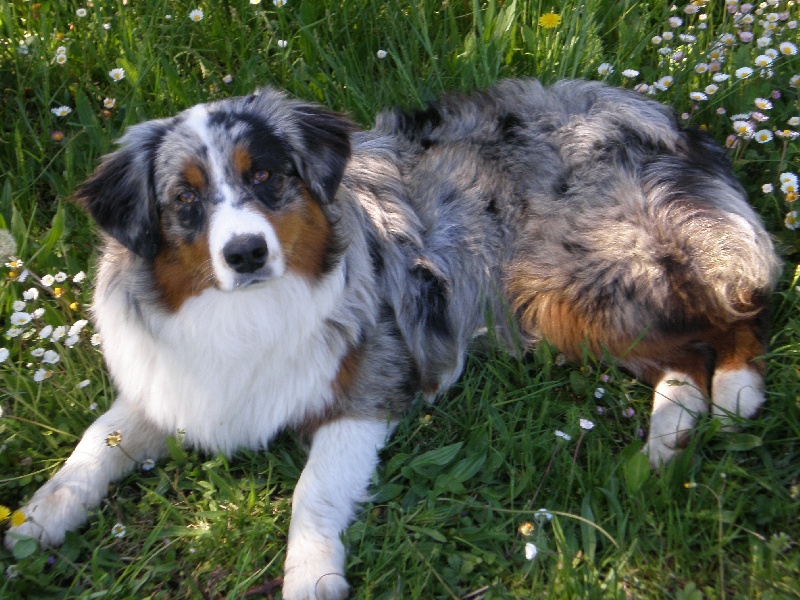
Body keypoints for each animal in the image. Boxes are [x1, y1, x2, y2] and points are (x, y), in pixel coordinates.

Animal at [7, 78, 780, 596]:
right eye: (185, 200)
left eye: (268, 177)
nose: (246, 254)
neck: (247, 311)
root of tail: (655, 114)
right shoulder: (171, 385)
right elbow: (93, 446)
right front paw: (34, 520)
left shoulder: (374, 382)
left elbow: (312, 491)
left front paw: (310, 574)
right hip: (562, 308)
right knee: (683, 359)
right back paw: (668, 443)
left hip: (583, 277)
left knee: (730, 315)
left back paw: (736, 390)